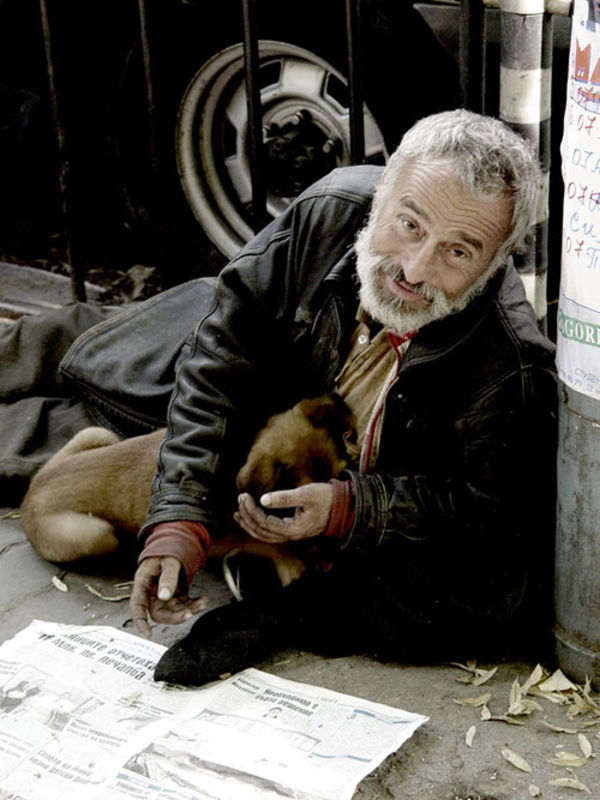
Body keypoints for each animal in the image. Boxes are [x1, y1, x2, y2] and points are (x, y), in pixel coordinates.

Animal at [20, 394, 355, 588]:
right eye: (299, 505)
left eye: (342, 476)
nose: (339, 548)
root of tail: (27, 498)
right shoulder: (218, 539)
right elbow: (261, 541)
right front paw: (295, 561)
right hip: (95, 533)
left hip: (97, 433)